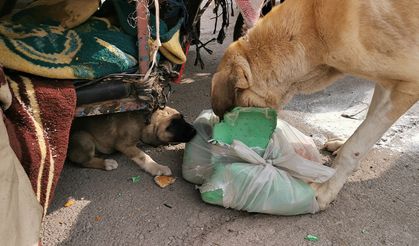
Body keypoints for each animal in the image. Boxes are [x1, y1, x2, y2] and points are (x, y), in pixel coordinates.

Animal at [68, 106, 197, 176]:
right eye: (174, 126)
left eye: (183, 118)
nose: (195, 130)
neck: (144, 120)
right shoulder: (123, 145)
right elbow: (143, 156)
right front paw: (157, 167)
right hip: (84, 138)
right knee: (82, 162)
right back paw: (106, 163)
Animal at [212, 0, 419, 210]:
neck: (315, 24)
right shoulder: (386, 82)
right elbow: (367, 124)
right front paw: (345, 146)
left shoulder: (408, 87)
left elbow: (358, 142)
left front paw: (327, 187)